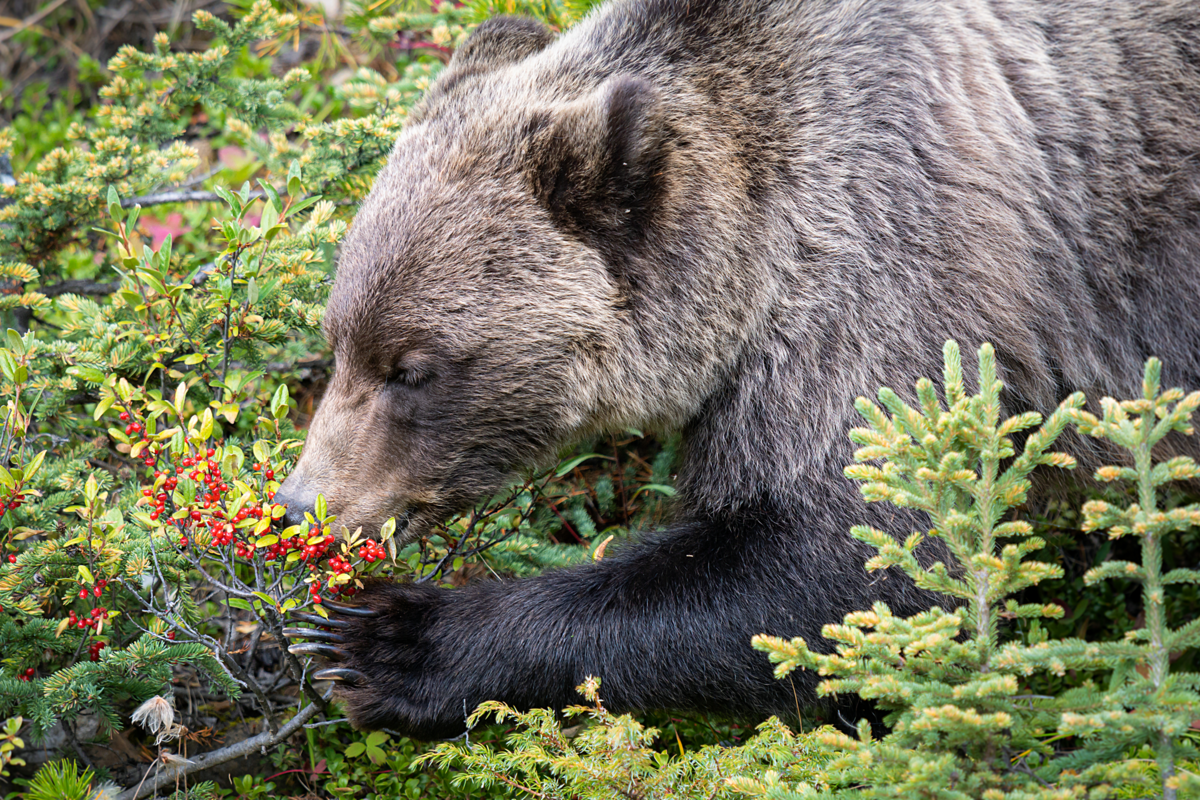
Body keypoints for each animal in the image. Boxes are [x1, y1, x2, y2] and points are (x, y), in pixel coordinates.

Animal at [276, 0, 1200, 738]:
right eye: (339, 339)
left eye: (414, 368)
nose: (301, 504)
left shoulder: (890, 276)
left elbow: (842, 564)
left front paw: (384, 641)